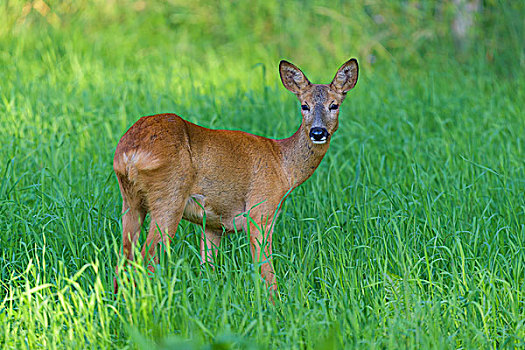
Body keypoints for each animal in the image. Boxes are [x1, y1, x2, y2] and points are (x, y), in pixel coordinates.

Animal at [112, 58, 358, 298]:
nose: (318, 132)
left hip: (130, 201)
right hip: (169, 196)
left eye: (334, 105)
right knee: (146, 258)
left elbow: (208, 268)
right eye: (304, 105)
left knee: (123, 258)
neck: (283, 165)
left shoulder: (213, 224)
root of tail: (130, 153)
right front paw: (275, 303)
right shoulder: (261, 209)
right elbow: (265, 269)